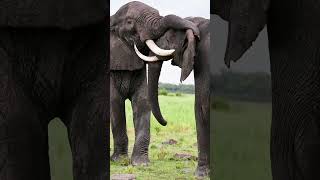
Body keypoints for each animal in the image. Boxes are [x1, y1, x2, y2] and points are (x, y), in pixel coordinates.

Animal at [110, 0, 200, 165]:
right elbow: (115, 102)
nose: (166, 122)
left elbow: (143, 102)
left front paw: (141, 164)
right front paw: (119, 161)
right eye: (130, 22)